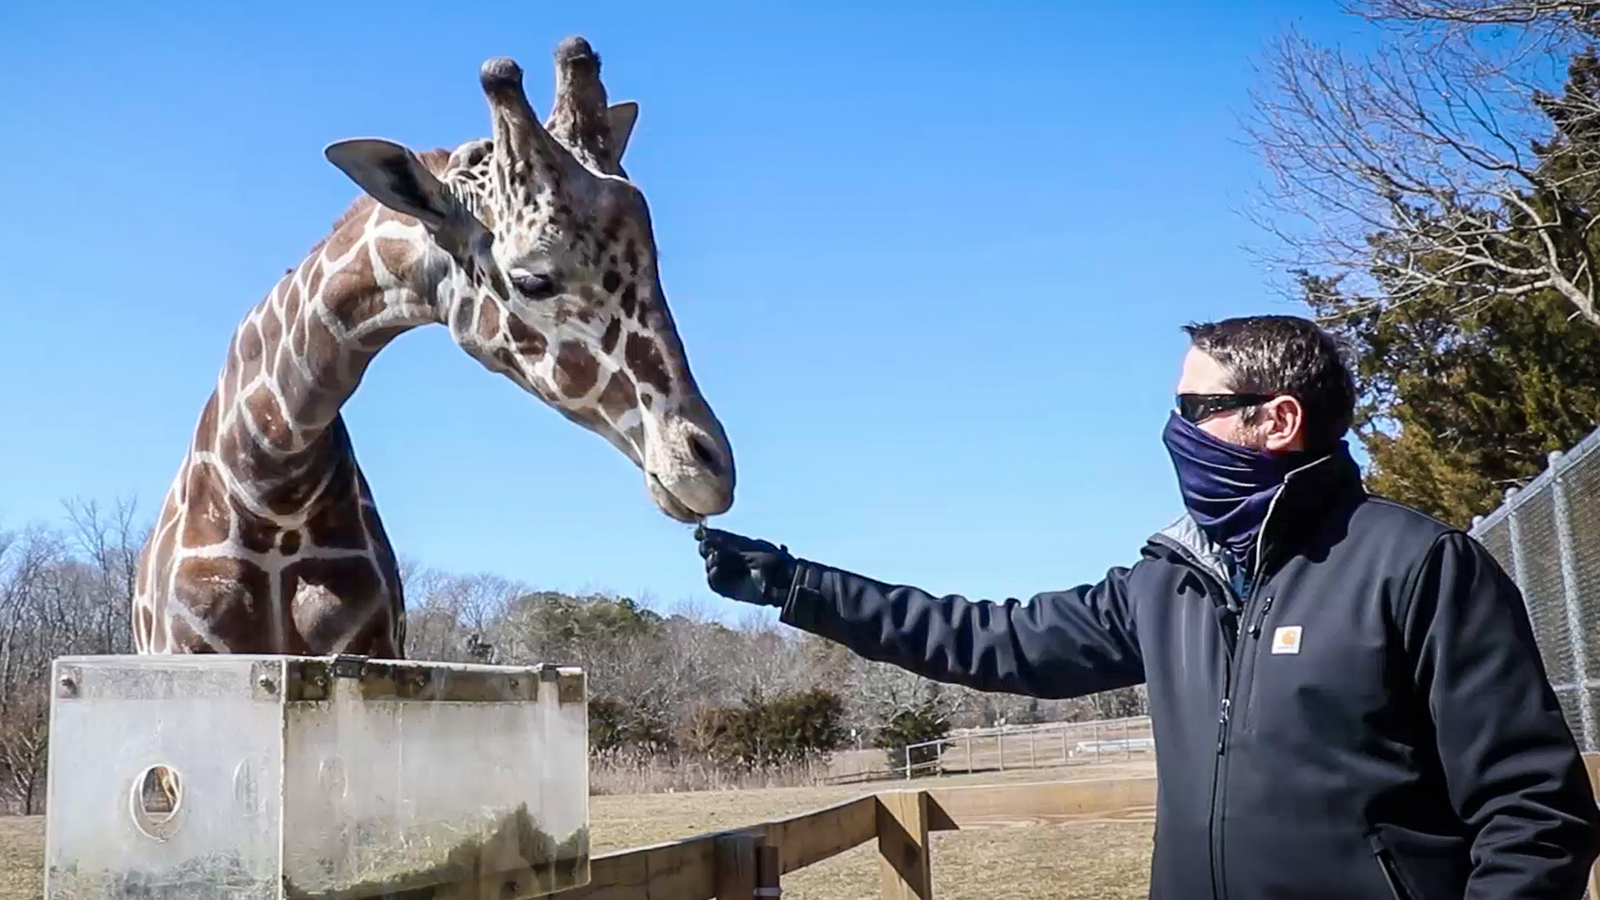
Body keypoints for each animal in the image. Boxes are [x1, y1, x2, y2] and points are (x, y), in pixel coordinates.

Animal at [129, 36, 736, 666]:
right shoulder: (189, 651)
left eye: (655, 260)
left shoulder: (372, 650)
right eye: (534, 280)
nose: (707, 467)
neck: (271, 479)